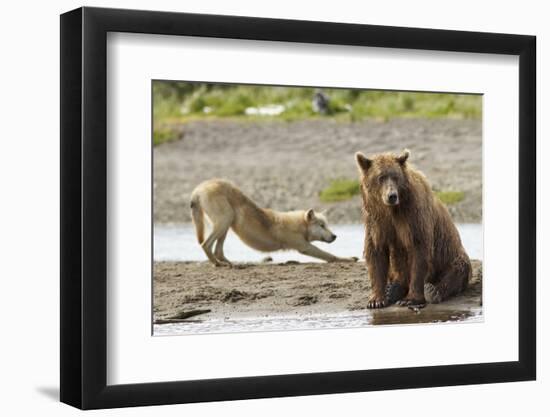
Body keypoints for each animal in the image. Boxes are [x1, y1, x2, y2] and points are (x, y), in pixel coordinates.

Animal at [358, 148, 474, 308]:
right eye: (381, 177)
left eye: (395, 176)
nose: (392, 196)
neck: (392, 210)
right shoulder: (376, 221)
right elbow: (376, 250)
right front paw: (376, 300)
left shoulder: (413, 215)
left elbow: (418, 250)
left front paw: (410, 299)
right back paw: (392, 289)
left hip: (451, 256)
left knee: (456, 271)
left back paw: (432, 291)